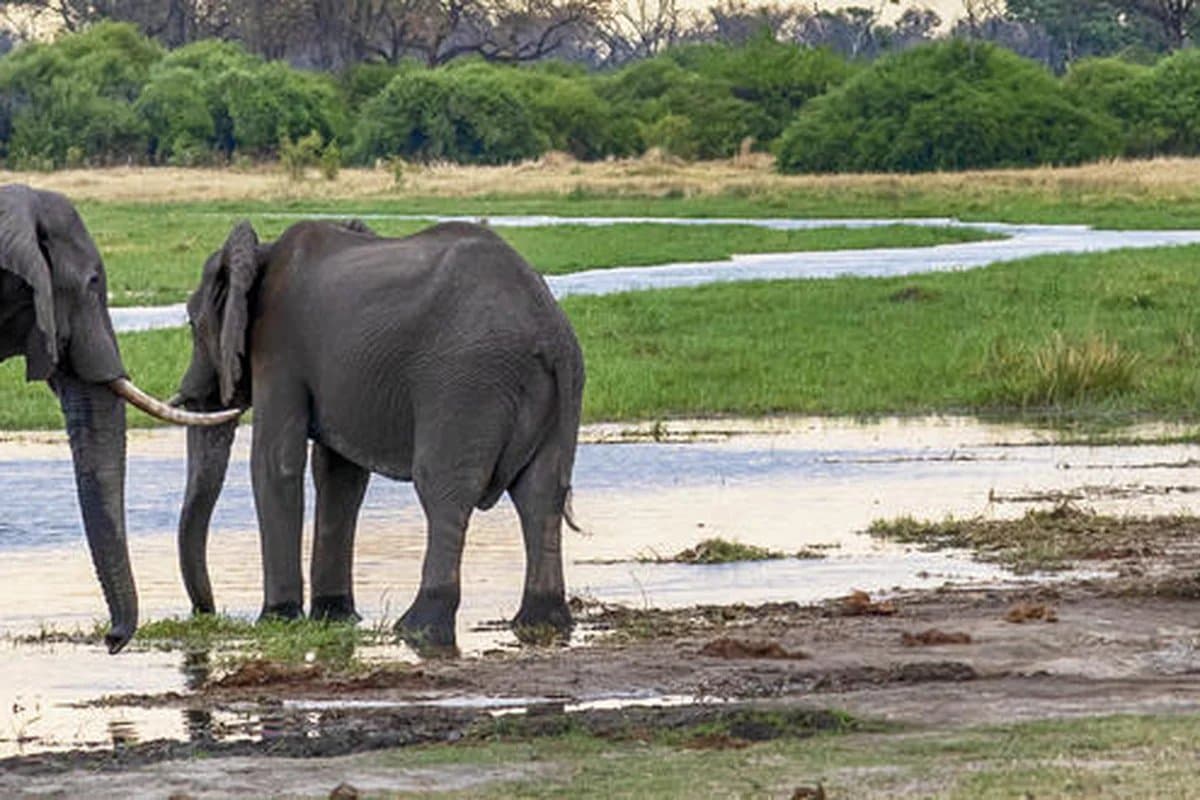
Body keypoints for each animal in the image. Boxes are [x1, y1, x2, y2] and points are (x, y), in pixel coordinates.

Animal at [174, 218, 585, 648]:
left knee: (444, 488)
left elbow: (275, 464)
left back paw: (418, 628)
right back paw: (542, 622)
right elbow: (340, 476)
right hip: (555, 385)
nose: (205, 612)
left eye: (191, 324)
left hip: (465, 381)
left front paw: (276, 618)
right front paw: (334, 614)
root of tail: (548, 329)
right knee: (540, 492)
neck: (261, 254)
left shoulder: (278, 349)